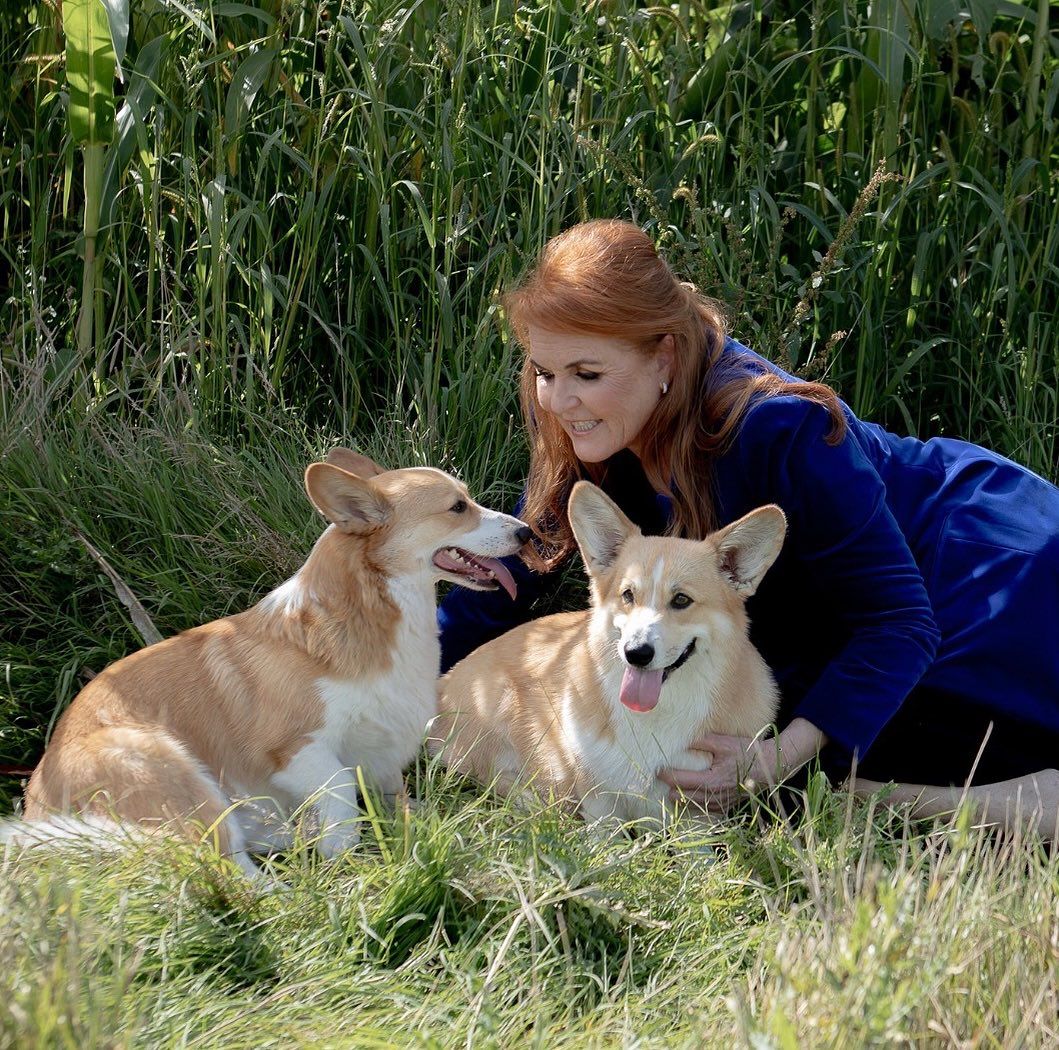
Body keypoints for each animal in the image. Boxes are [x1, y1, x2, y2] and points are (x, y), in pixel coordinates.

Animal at [10, 448, 529, 876]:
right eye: (458, 508)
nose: (528, 532)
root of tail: (40, 803)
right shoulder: (298, 750)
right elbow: (343, 794)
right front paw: (348, 861)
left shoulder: (381, 753)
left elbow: (393, 801)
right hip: (177, 776)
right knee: (230, 870)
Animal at [429, 480, 787, 834]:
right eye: (628, 595)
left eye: (682, 600)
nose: (636, 654)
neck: (656, 714)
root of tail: (441, 685)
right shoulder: (601, 803)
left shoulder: (698, 814)